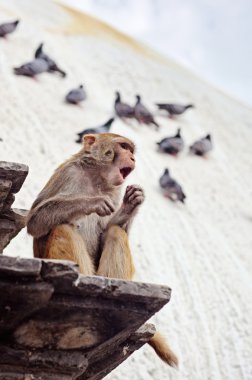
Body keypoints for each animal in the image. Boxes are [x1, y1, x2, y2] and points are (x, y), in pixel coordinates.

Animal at [26, 132, 178, 366]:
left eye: (130, 150)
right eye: (123, 147)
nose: (132, 158)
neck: (96, 178)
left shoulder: (115, 191)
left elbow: (108, 229)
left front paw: (131, 204)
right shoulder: (68, 173)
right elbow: (36, 221)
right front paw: (90, 202)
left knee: (115, 232)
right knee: (63, 228)